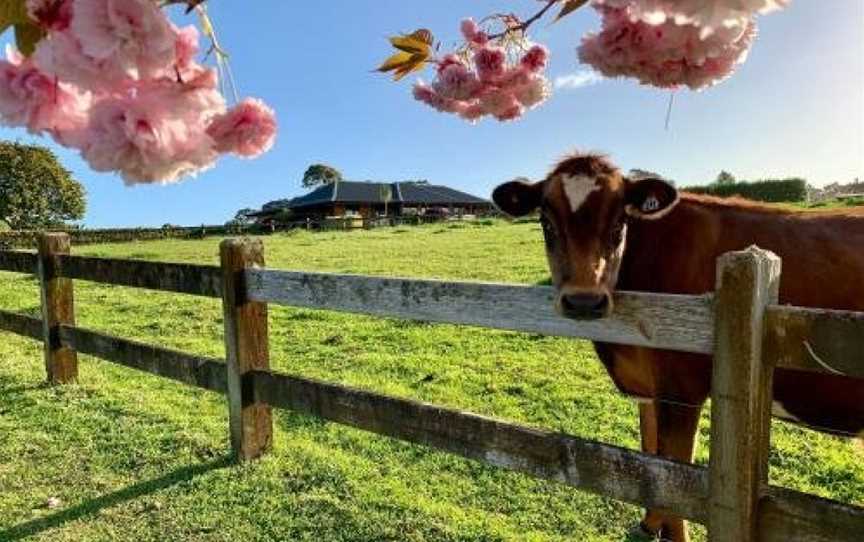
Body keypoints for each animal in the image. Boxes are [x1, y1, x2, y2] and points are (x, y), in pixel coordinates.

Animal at [492, 152, 864, 542]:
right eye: (546, 222)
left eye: (620, 222)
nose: (583, 301)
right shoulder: (650, 389)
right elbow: (651, 455)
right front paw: (649, 524)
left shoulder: (682, 389)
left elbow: (677, 476)